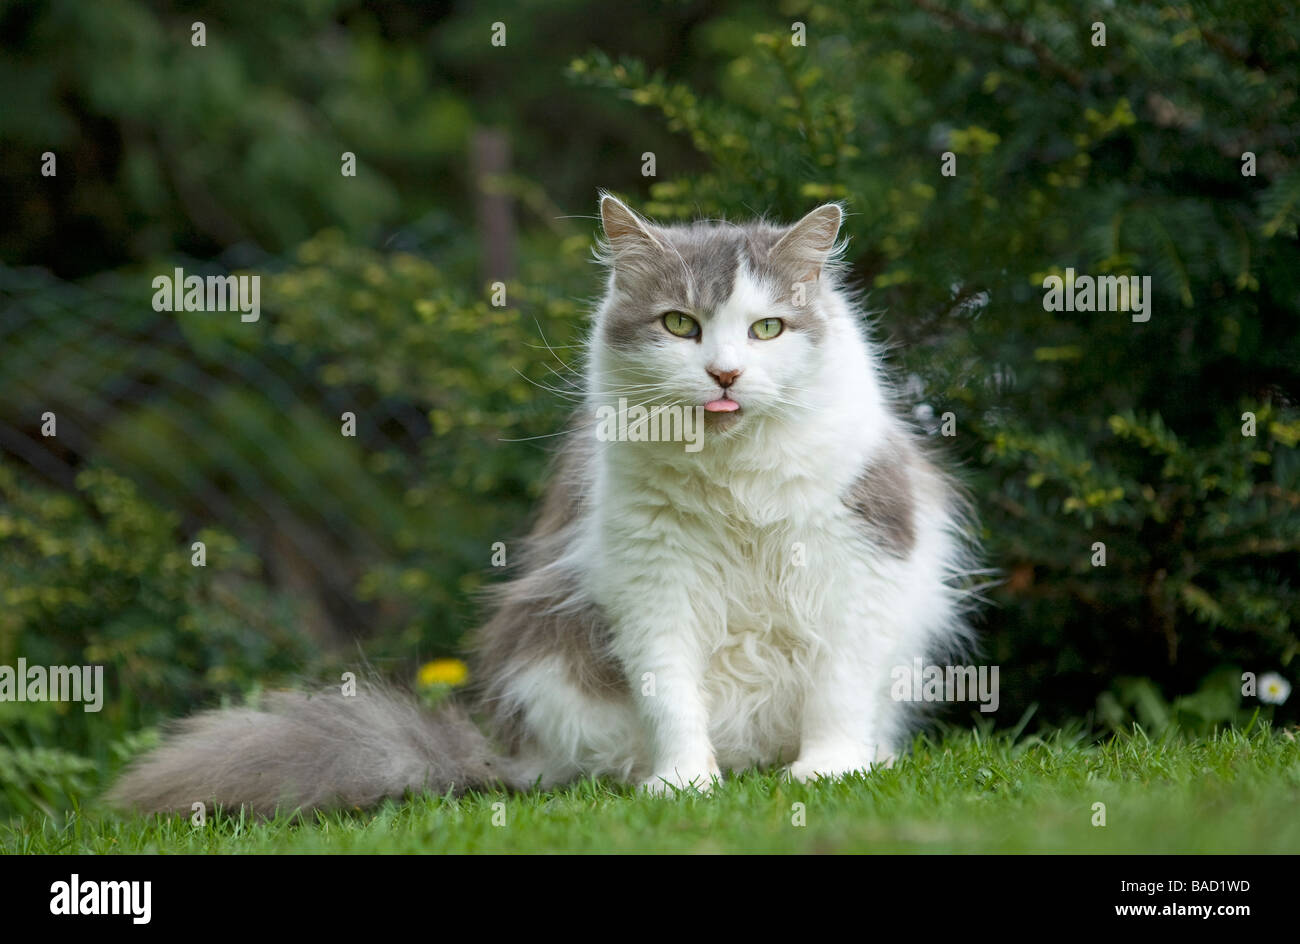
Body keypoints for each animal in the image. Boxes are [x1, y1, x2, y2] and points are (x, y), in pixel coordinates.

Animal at [111, 193, 977, 811]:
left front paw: (827, 773)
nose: (725, 374)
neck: (734, 475)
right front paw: (684, 786)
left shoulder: (858, 558)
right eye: (680, 325)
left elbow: (837, 690)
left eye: (767, 329)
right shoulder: (652, 580)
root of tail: (507, 752)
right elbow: (673, 699)